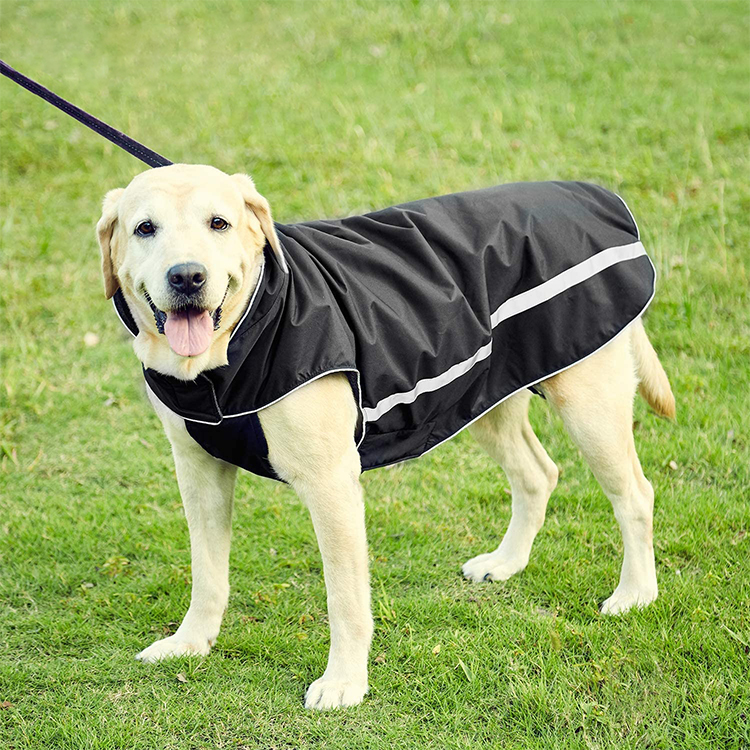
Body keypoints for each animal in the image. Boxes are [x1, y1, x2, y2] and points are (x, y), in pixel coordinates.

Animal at [97, 164, 680, 712]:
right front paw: (191, 642)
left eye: (218, 223)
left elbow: (345, 598)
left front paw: (344, 683)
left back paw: (635, 593)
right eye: (145, 228)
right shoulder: (199, 470)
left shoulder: (331, 484)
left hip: (588, 403)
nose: (187, 277)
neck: (233, 351)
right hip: (485, 392)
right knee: (539, 474)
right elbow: (207, 573)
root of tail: (594, 193)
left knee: (635, 495)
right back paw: (506, 562)